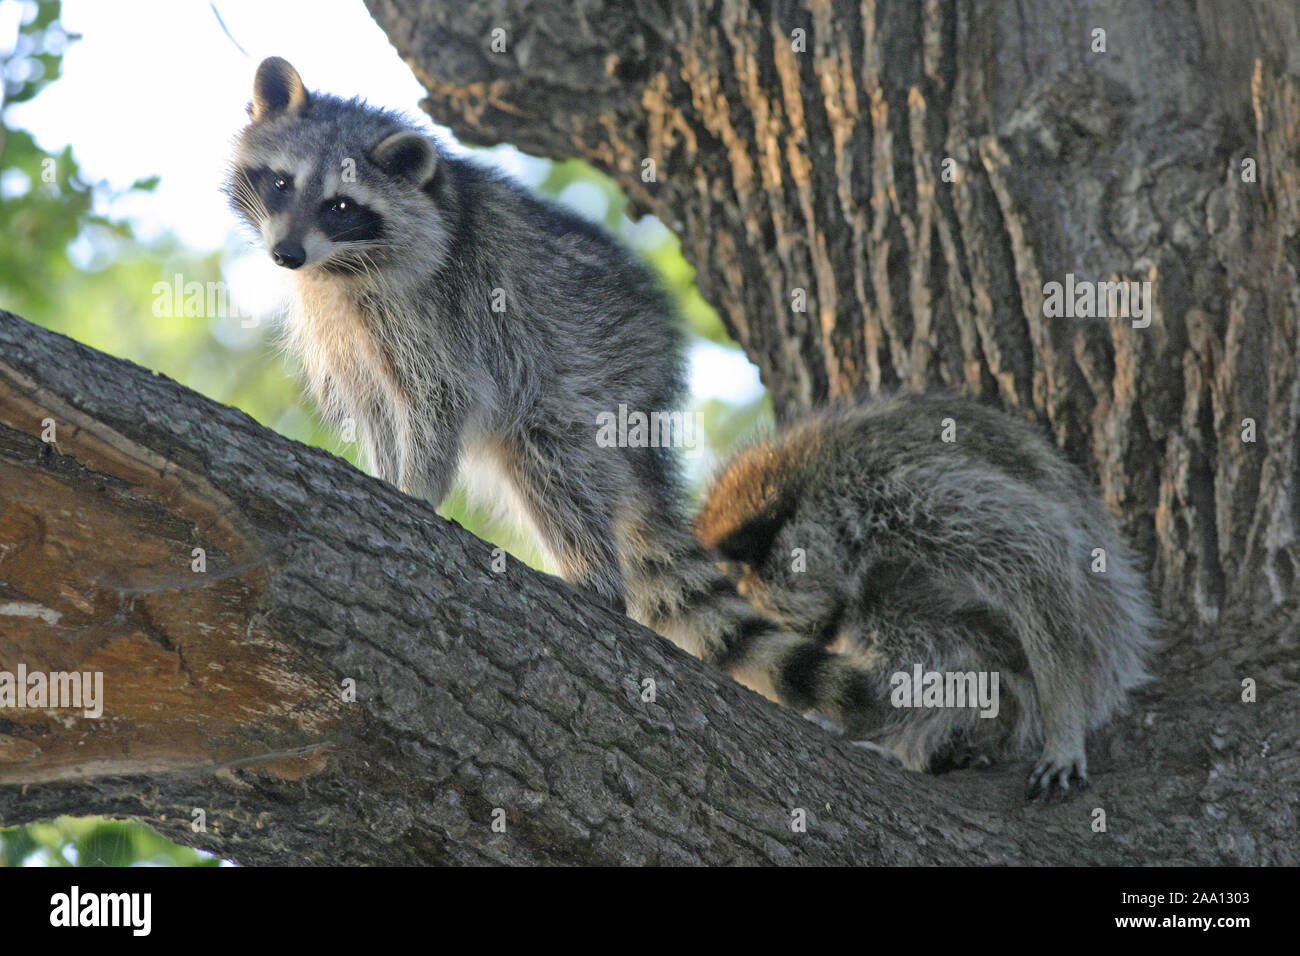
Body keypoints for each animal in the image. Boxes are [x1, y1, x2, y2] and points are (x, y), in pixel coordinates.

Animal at [228, 55, 889, 728]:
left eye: (340, 205)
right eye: (281, 183)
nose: (286, 254)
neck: (338, 268)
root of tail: (658, 377)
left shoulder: (440, 310)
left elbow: (439, 402)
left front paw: (417, 489)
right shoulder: (344, 336)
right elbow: (378, 412)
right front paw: (385, 473)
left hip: (593, 373)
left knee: (553, 464)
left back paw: (594, 579)